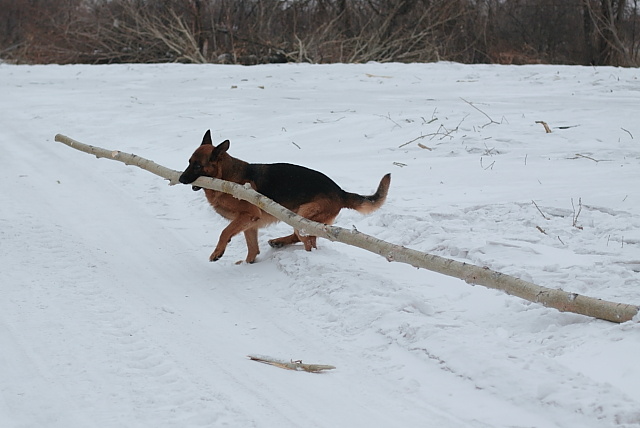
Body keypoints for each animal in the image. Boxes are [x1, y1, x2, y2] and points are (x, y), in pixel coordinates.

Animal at [180, 130, 390, 264]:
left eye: (197, 166)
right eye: (189, 162)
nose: (181, 179)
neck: (227, 177)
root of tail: (340, 191)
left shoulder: (247, 215)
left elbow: (225, 232)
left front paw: (218, 252)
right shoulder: (251, 223)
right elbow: (252, 249)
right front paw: (248, 263)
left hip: (302, 217)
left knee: (308, 241)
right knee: (303, 237)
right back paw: (279, 242)